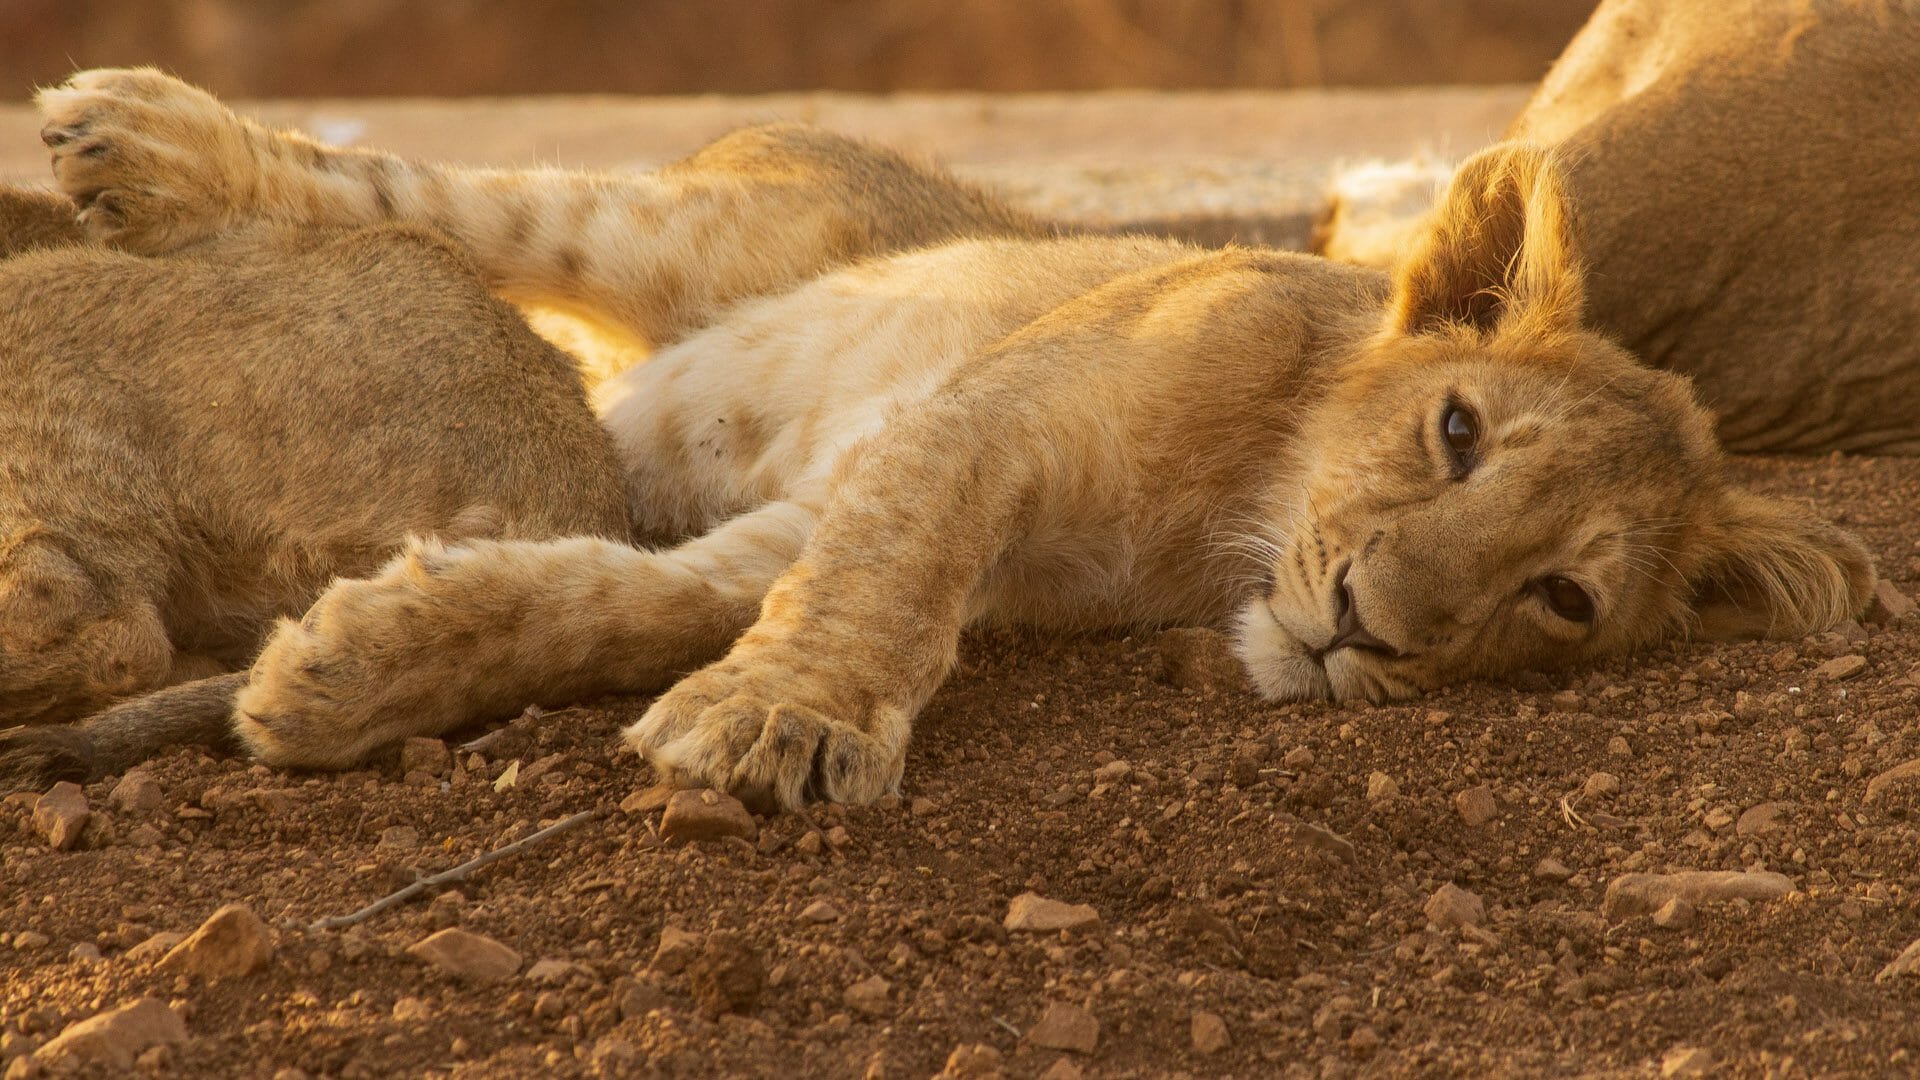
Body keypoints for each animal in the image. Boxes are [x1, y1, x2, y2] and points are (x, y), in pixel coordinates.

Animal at [0, 67, 1866, 803]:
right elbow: (890, 590)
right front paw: (784, 732)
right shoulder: (992, 413)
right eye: (1460, 431)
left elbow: (616, 600)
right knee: (431, 194)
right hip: (699, 232)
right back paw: (133, 146)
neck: (1233, 514)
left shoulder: (816, 503)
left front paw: (355, 668)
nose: (1368, 632)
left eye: (1564, 602)